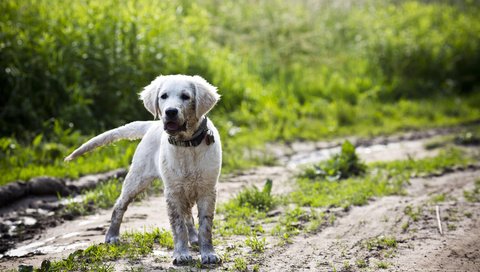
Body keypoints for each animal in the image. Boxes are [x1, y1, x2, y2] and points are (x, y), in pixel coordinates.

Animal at [64, 75, 222, 266]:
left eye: (186, 96)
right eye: (163, 96)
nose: (170, 112)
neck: (187, 144)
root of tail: (152, 126)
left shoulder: (207, 190)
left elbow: (205, 226)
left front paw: (208, 253)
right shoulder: (172, 191)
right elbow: (178, 227)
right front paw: (181, 254)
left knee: (188, 215)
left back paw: (194, 238)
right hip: (137, 179)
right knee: (119, 206)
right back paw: (112, 235)